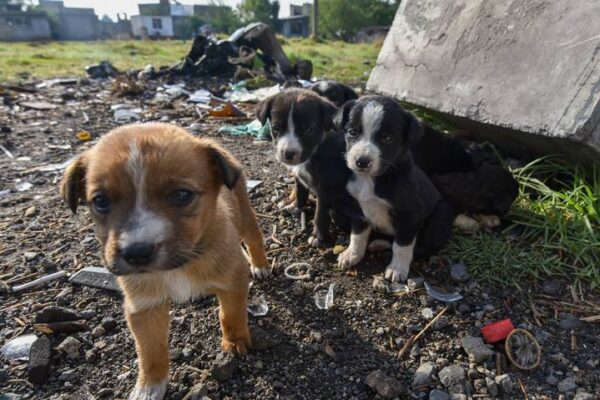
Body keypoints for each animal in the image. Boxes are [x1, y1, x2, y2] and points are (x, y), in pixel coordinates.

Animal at [60, 122, 270, 400]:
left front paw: (235, 342)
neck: (180, 264)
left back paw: (261, 264)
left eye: (182, 195)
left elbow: (231, 315)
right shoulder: (143, 307)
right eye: (100, 201)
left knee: (254, 237)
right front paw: (149, 387)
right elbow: (150, 352)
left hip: (245, 215)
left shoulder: (233, 280)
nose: (137, 253)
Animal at [256, 89, 360, 245]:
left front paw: (318, 236)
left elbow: (320, 213)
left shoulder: (325, 190)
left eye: (308, 130)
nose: (289, 154)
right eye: (276, 127)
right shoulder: (299, 176)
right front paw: (296, 207)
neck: (315, 150)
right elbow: (300, 192)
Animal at [332, 95, 450, 282]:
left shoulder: (410, 214)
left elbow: (401, 245)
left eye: (388, 138)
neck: (371, 180)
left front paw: (397, 269)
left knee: (425, 247)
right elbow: (357, 234)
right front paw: (352, 254)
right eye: (352, 132)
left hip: (440, 215)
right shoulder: (358, 209)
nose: (362, 161)